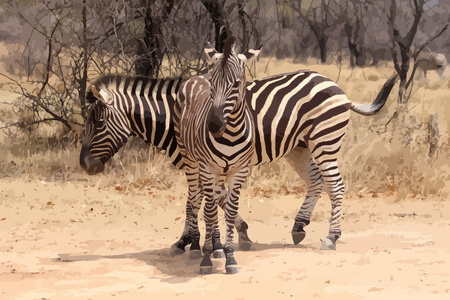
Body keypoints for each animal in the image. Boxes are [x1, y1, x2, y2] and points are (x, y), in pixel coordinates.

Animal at [174, 36, 262, 274]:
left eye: (236, 84)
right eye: (213, 85)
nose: (213, 125)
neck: (230, 134)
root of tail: (198, 75)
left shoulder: (238, 172)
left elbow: (229, 212)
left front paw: (229, 255)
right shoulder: (207, 169)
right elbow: (210, 212)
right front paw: (206, 258)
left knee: (210, 200)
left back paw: (217, 248)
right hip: (191, 161)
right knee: (196, 200)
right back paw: (198, 246)